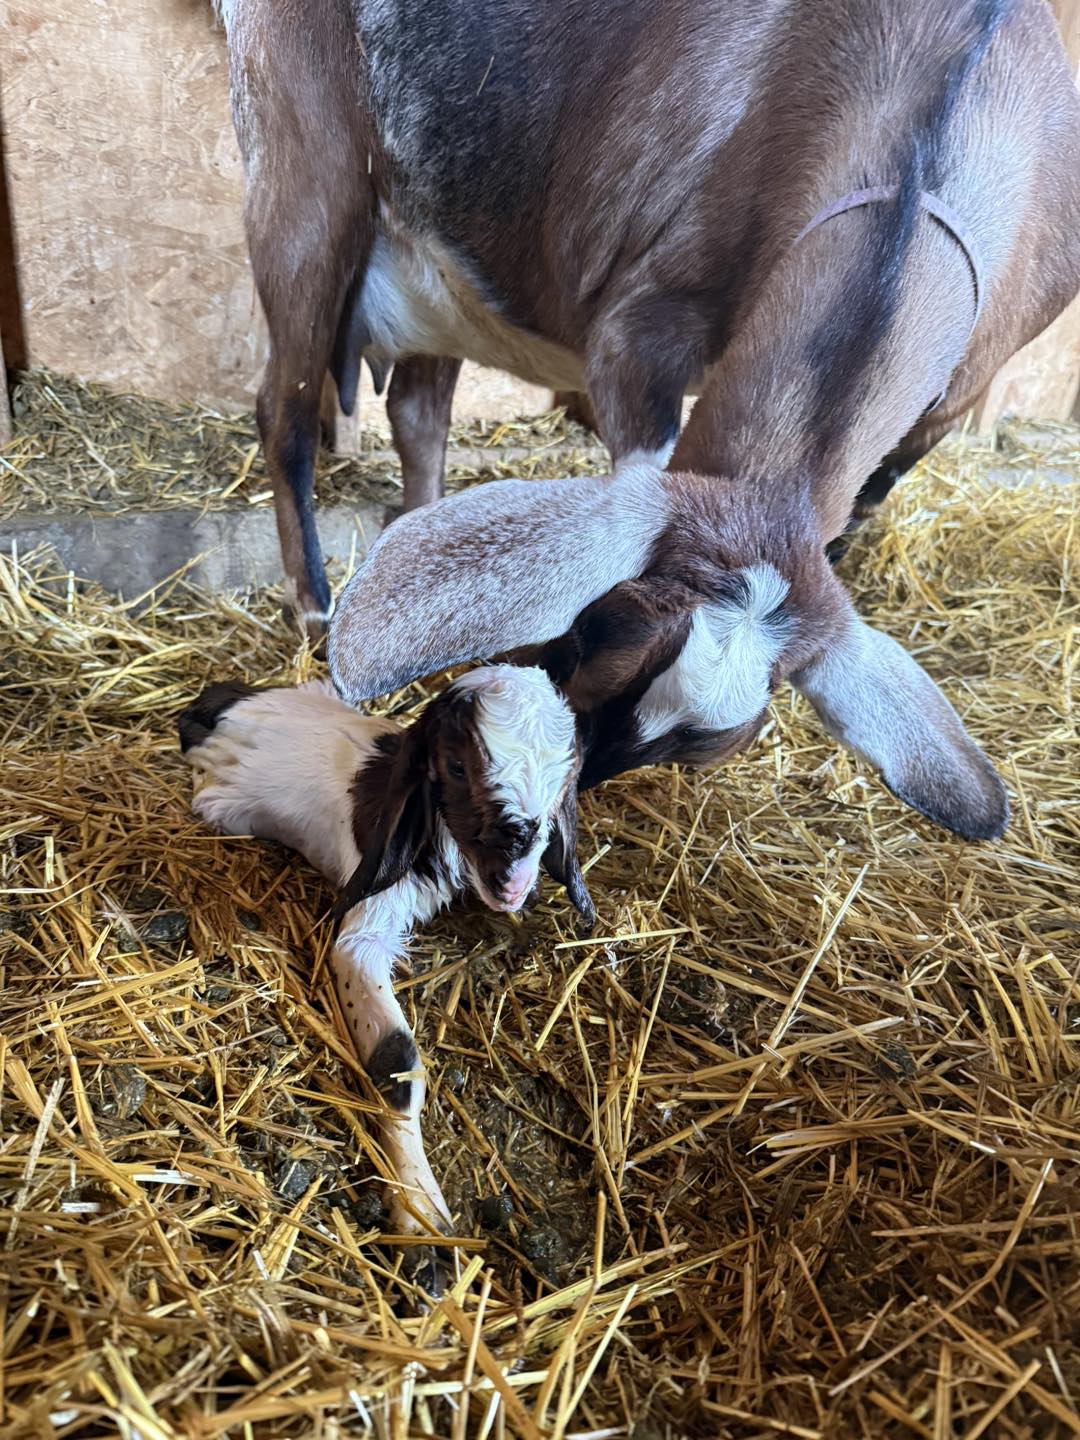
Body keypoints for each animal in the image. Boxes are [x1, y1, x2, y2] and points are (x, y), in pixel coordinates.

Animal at [178, 667, 591, 1238]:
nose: (512, 880)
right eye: (457, 766)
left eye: (564, 779)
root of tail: (220, 702)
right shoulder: (362, 927)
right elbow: (397, 1063)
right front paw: (421, 1213)